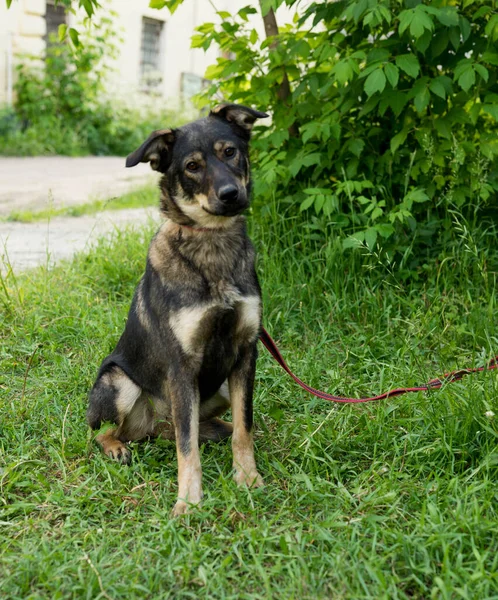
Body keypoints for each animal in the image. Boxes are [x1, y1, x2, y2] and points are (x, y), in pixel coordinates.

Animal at [85, 103, 268, 516]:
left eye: (230, 152)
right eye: (192, 166)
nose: (231, 195)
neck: (212, 245)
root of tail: (155, 422)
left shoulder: (245, 353)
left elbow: (245, 428)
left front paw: (248, 478)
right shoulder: (182, 366)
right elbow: (188, 449)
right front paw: (188, 502)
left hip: (216, 389)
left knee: (181, 430)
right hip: (121, 384)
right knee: (112, 432)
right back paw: (116, 447)